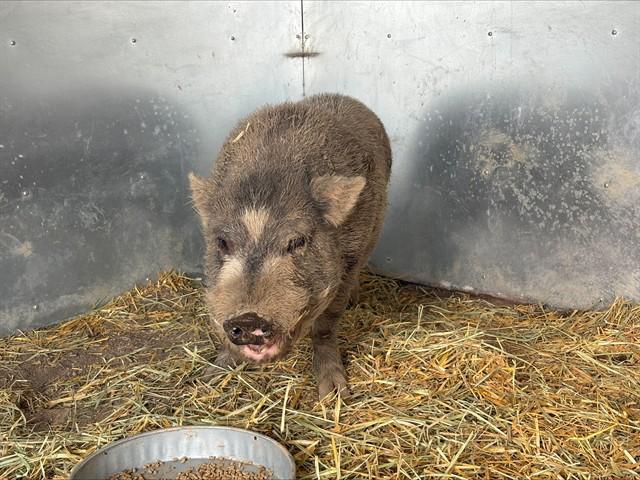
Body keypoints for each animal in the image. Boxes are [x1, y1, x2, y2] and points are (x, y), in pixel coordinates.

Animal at [188, 93, 392, 399]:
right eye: (222, 242)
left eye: (297, 241)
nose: (247, 319)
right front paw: (209, 376)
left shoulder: (350, 260)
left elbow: (325, 325)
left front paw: (333, 394)